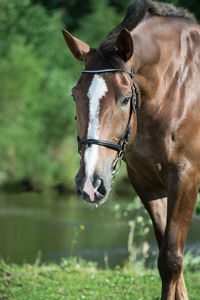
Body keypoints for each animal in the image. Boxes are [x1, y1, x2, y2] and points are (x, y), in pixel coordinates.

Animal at [62, 0, 200, 300]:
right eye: (75, 95)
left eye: (125, 99)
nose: (90, 184)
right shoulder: (147, 183)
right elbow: (168, 256)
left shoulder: (185, 178)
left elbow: (171, 260)